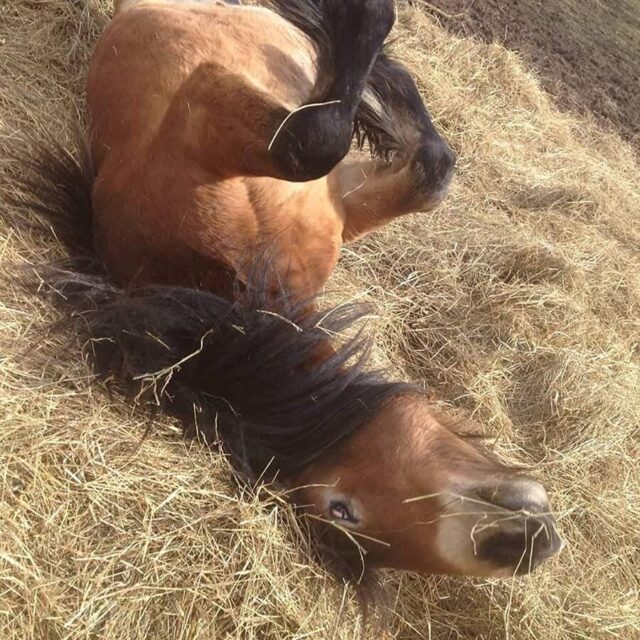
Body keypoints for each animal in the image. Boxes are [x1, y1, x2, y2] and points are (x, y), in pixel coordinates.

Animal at [21, 0, 560, 580]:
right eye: (341, 509)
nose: (523, 545)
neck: (240, 267)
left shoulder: (336, 198)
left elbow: (425, 170)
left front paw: (369, 71)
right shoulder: (207, 108)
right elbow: (320, 138)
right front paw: (359, 41)